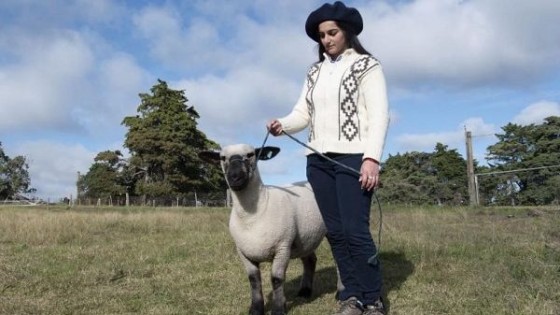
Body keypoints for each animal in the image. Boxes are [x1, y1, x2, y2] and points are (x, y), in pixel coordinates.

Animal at [198, 144, 326, 315]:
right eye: (222, 157)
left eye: (250, 154)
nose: (234, 177)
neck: (253, 216)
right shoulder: (243, 252)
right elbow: (254, 280)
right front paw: (256, 309)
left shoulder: (282, 247)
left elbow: (277, 279)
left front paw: (278, 309)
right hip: (305, 238)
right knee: (310, 260)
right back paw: (305, 292)